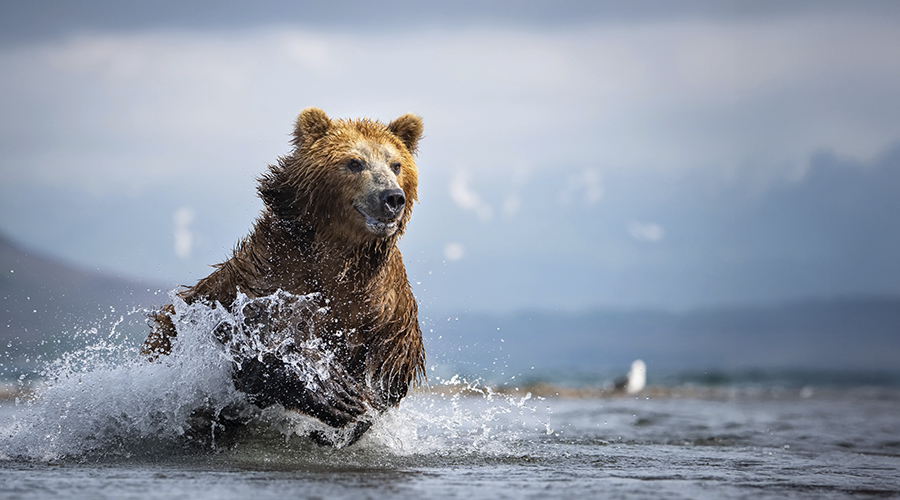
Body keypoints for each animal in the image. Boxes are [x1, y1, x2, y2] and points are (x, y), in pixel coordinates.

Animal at [142, 107, 426, 446]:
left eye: (396, 164)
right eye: (354, 162)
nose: (391, 197)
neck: (339, 256)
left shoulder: (384, 308)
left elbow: (386, 375)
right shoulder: (268, 280)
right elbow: (250, 349)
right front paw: (331, 391)